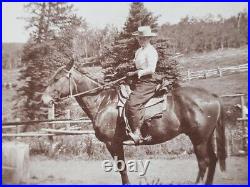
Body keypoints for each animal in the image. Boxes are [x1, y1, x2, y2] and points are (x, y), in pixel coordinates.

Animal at [42, 60, 227, 185]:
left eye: (57, 78)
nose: (44, 99)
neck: (102, 102)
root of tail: (212, 96)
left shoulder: (113, 143)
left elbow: (122, 169)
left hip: (199, 138)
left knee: (204, 163)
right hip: (207, 137)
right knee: (213, 160)